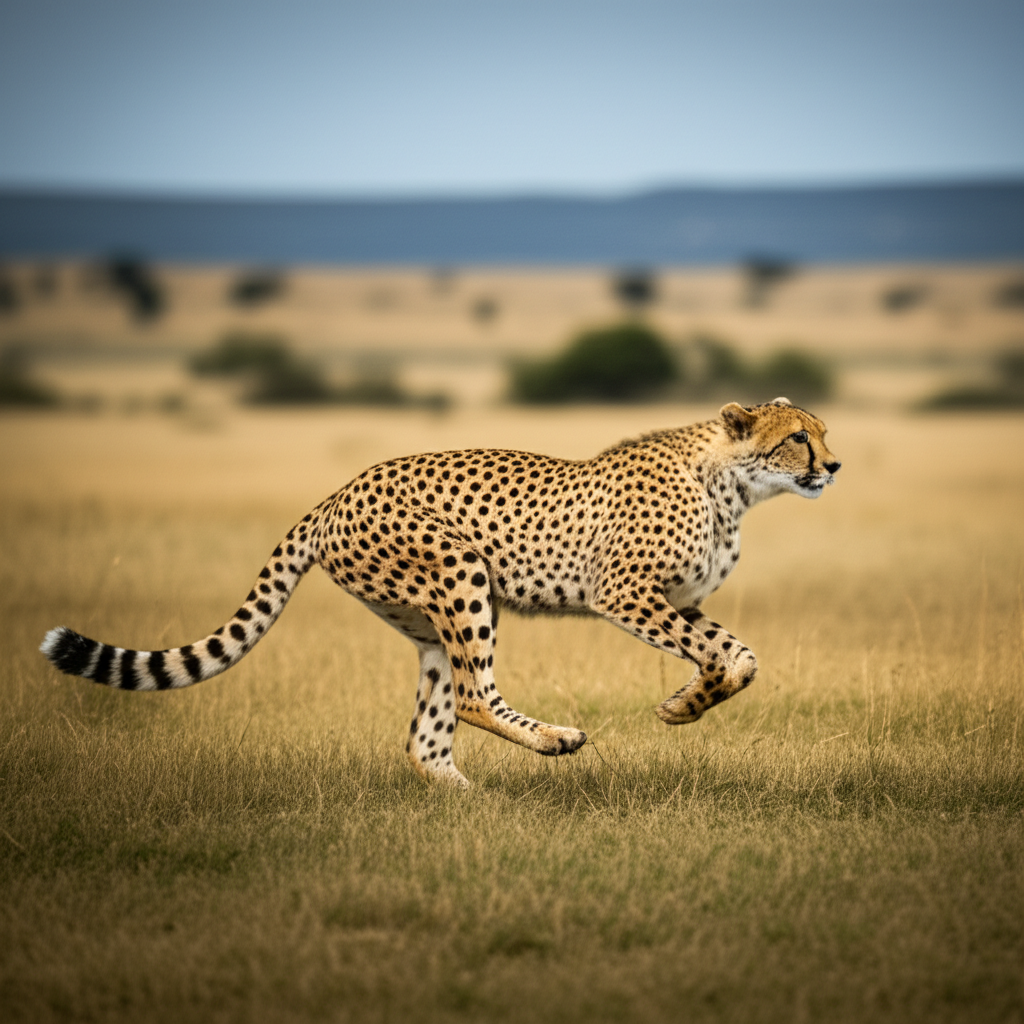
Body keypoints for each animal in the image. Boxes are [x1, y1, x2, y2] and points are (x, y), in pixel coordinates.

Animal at [41, 398, 840, 787]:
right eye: (797, 438)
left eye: (822, 433)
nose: (833, 465)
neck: (733, 483)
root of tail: (338, 490)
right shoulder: (623, 592)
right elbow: (731, 655)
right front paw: (683, 705)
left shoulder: (679, 599)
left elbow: (732, 655)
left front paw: (683, 703)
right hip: (462, 574)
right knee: (476, 696)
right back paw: (553, 739)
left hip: (425, 620)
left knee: (427, 733)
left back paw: (470, 799)